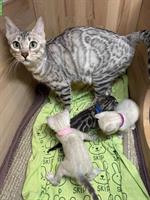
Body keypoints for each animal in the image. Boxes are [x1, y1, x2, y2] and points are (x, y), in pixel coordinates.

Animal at [4, 16, 149, 108]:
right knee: (108, 90)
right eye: (16, 44)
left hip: (100, 76)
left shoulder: (62, 84)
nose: (24, 54)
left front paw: (65, 113)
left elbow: (67, 103)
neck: (38, 67)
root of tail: (127, 38)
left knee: (101, 96)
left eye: (33, 44)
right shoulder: (55, 86)